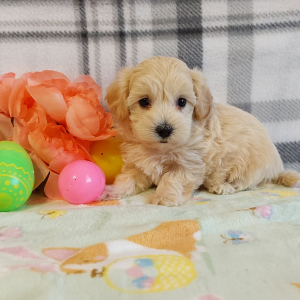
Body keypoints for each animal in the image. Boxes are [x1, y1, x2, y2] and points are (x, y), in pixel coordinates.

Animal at [103, 56, 300, 206]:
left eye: (182, 102)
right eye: (144, 101)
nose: (165, 129)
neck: (161, 148)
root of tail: (278, 168)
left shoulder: (191, 163)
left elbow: (173, 178)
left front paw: (165, 197)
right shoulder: (137, 163)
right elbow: (128, 178)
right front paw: (114, 190)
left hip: (248, 164)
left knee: (246, 182)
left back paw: (223, 186)